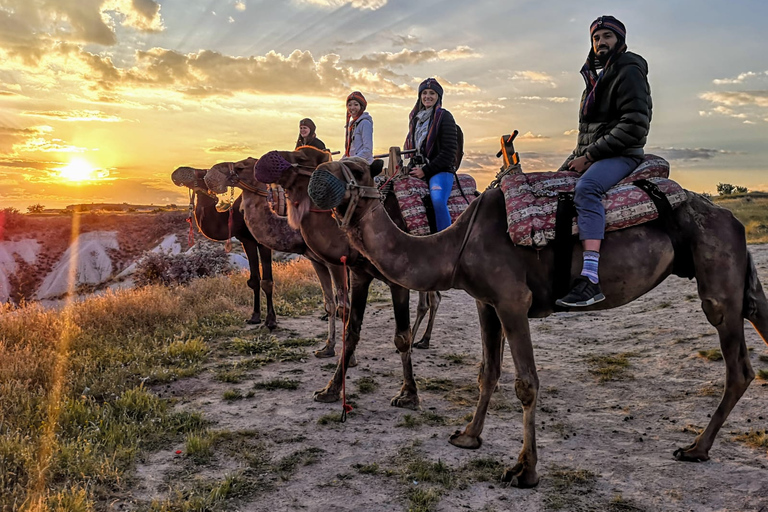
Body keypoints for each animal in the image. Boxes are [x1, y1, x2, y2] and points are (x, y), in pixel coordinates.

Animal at [171, 166, 276, 328]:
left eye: (201, 172)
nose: (177, 172)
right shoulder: (247, 240)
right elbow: (254, 280)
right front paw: (255, 317)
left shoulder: (264, 241)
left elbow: (267, 281)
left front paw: (271, 320)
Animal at [205, 148, 441, 409]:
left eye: (244, 165)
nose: (213, 173)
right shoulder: (320, 262)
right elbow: (331, 306)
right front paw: (328, 350)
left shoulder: (339, 264)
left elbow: (343, 308)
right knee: (432, 298)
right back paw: (422, 339)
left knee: (430, 299)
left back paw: (422, 341)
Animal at [307, 156, 768, 487]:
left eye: (357, 169)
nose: (319, 175)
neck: (455, 245)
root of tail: (732, 219)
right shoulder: (486, 302)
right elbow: (487, 372)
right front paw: (468, 436)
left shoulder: (513, 301)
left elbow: (526, 384)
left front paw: (524, 471)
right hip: (733, 274)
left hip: (717, 276)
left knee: (738, 366)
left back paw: (695, 447)